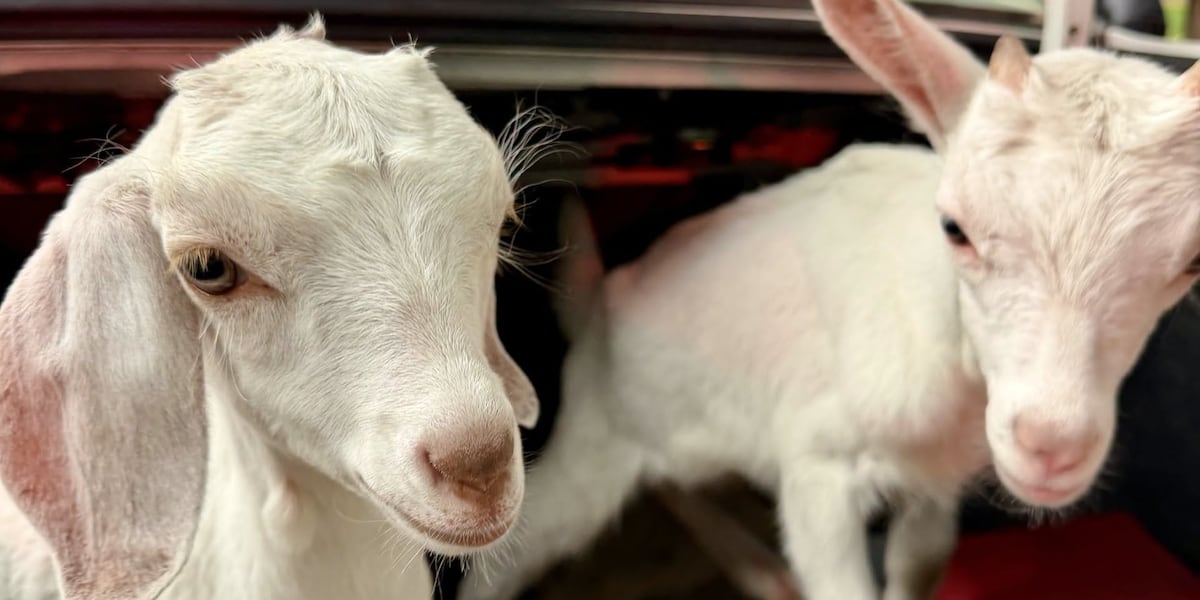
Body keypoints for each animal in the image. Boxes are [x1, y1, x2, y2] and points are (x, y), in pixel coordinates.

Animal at [459, 1, 1200, 599]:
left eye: (1192, 261)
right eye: (954, 227)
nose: (1051, 447)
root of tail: (596, 309)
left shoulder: (936, 483)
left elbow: (919, 563)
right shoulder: (817, 464)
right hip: (594, 437)